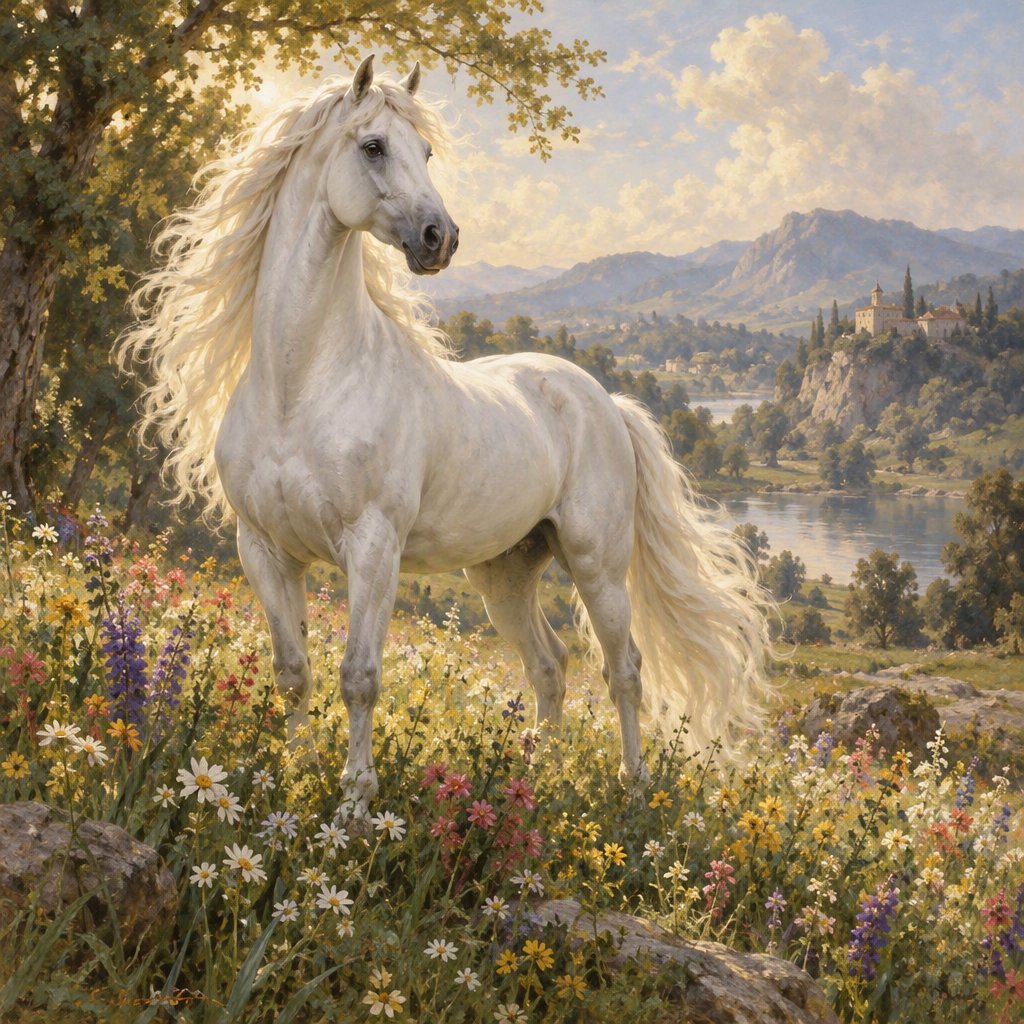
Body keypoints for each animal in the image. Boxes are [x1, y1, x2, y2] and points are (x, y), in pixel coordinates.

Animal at [121, 56, 769, 817]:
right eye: (373, 146)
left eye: (426, 152)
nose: (441, 238)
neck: (301, 384)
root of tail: (604, 401)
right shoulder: (265, 551)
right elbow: (294, 672)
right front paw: (292, 778)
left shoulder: (373, 547)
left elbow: (359, 676)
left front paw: (354, 804)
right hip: (505, 573)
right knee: (550, 668)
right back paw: (530, 786)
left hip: (598, 565)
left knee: (624, 670)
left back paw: (632, 788)